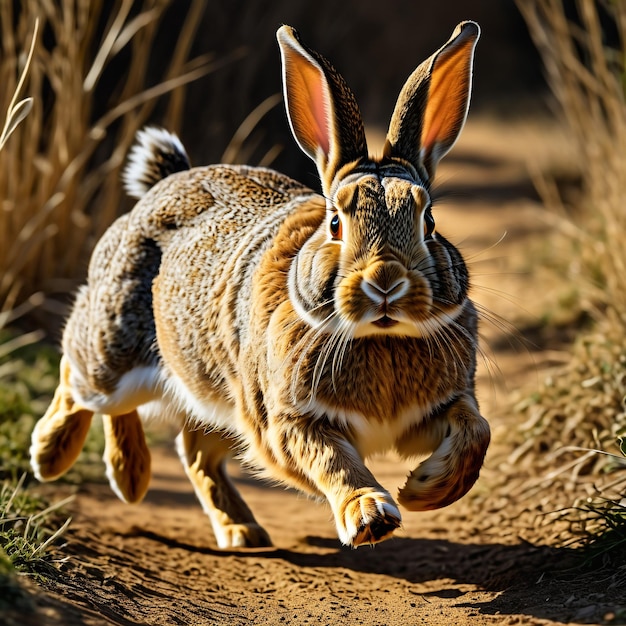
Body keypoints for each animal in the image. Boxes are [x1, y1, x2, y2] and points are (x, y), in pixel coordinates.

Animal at [29, 20, 488, 544]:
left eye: (428, 221)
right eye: (336, 223)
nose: (386, 281)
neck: (380, 336)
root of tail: (162, 185)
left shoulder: (444, 407)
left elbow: (477, 434)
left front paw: (424, 489)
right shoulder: (287, 421)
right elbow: (333, 464)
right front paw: (370, 514)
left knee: (194, 450)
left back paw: (224, 522)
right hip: (116, 350)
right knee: (77, 373)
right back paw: (64, 458)